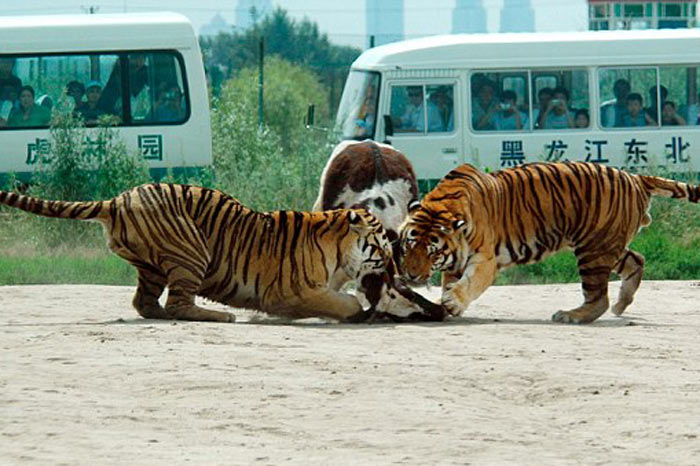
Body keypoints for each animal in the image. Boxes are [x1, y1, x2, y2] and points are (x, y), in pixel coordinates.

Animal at [0, 184, 432, 322]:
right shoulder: (289, 292)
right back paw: (221, 315)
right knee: (178, 304)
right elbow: (342, 302)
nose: (397, 270)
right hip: (192, 250)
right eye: (381, 249)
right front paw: (358, 310)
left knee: (147, 303)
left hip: (155, 265)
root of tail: (118, 199)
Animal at [400, 161, 700, 324]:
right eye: (409, 247)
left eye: (432, 252)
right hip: (606, 244)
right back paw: (621, 305)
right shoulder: (456, 261)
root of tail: (635, 177)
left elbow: (469, 283)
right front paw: (448, 303)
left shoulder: (485, 259)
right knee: (636, 260)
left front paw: (453, 301)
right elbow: (450, 281)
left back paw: (571, 315)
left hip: (593, 249)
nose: (411, 275)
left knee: (598, 298)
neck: (444, 205)